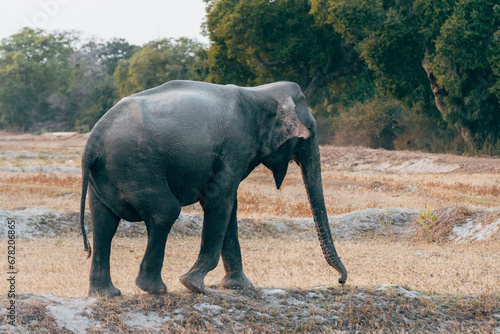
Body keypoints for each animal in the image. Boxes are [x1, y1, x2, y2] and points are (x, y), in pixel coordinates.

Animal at [80, 79, 348, 296]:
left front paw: (240, 286)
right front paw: (193, 285)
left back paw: (107, 294)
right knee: (165, 211)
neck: (259, 91)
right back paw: (154, 289)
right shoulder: (236, 147)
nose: (341, 280)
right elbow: (219, 201)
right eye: (309, 132)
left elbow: (230, 207)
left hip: (108, 173)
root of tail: (92, 141)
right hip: (136, 165)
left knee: (104, 223)